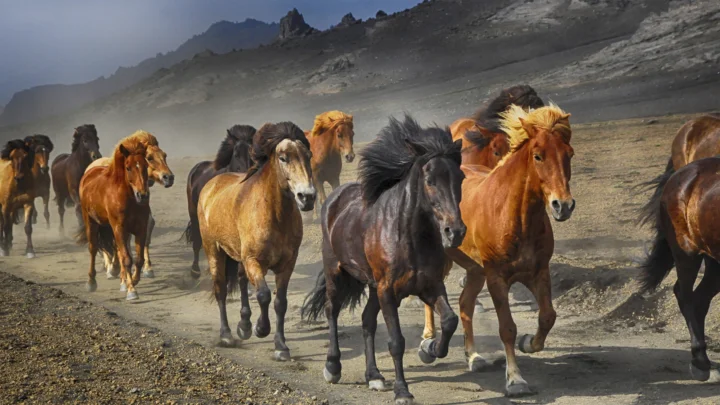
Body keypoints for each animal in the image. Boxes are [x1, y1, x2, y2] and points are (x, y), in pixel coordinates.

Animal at [76, 136, 150, 301]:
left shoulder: (141, 228)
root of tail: (88, 174)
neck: (129, 199)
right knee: (93, 248)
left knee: (116, 248)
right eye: (128, 167)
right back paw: (91, 282)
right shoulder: (119, 228)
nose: (142, 195)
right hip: (91, 221)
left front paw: (133, 280)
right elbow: (127, 258)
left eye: (146, 165)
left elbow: (139, 259)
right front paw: (131, 290)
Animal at [84, 130, 174, 279]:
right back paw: (109, 266)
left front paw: (147, 268)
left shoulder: (142, 217)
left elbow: (145, 234)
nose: (169, 177)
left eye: (165, 155)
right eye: (149, 158)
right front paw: (119, 271)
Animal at [197, 122, 315, 357]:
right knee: (220, 289)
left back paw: (244, 326)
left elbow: (280, 302)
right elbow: (263, 295)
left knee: (242, 281)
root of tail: (211, 185)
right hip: (214, 250)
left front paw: (281, 346)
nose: (307, 197)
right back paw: (226, 335)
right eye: (283, 158)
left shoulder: (287, 264)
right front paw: (261, 329)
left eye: (309, 156)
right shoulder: (254, 261)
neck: (275, 215)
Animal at [301, 115, 466, 405]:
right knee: (332, 311)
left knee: (367, 320)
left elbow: (449, 320)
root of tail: (335, 198)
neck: (409, 236)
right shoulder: (388, 291)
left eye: (460, 177)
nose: (454, 232)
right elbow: (396, 342)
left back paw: (374, 376)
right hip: (336, 272)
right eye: (430, 180)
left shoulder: (429, 285)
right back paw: (333, 367)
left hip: (373, 286)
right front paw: (402, 391)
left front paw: (432, 348)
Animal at [422, 104, 574, 397]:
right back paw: (427, 344)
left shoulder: (538, 272)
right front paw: (515, 380)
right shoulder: (497, 278)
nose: (563, 205)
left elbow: (547, 316)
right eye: (538, 155)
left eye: (569, 154)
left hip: (474, 270)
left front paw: (529, 342)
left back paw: (474, 357)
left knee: (465, 304)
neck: (514, 215)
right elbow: (507, 328)